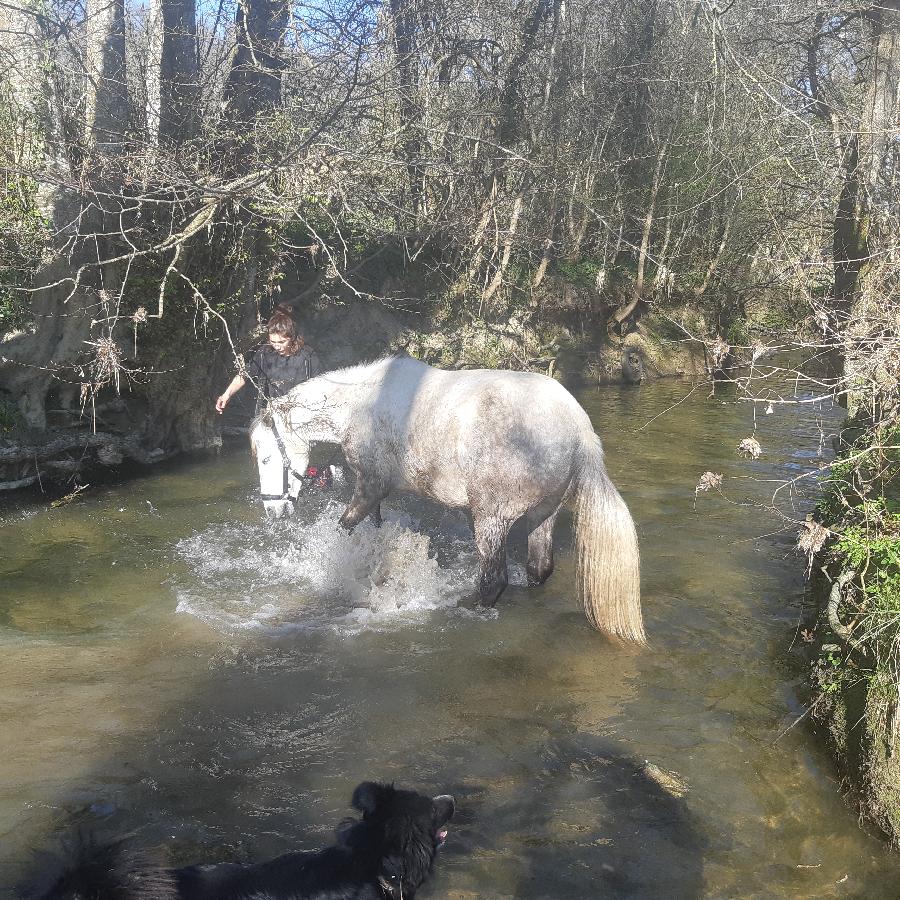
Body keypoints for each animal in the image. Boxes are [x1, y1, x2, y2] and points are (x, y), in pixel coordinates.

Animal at [250, 356, 644, 644]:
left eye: (266, 458)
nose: (273, 509)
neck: (364, 403)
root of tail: (578, 428)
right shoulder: (376, 494)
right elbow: (374, 528)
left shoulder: (369, 487)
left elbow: (344, 528)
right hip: (542, 515)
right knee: (538, 568)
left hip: (490, 518)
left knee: (493, 580)